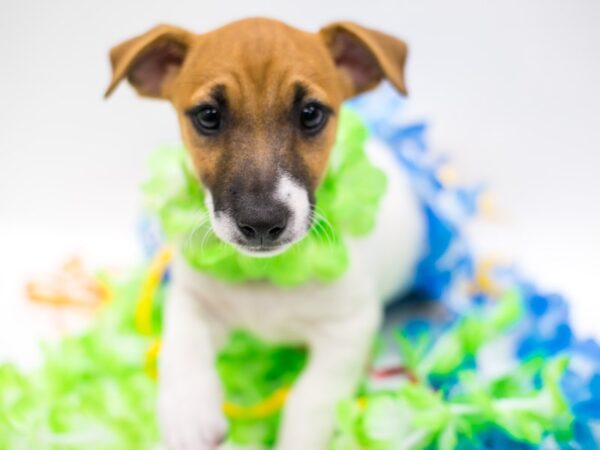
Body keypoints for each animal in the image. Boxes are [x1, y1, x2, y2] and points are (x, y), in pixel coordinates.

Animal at [106, 17, 426, 450]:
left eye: (311, 114)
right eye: (208, 116)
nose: (261, 223)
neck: (267, 274)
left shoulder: (349, 329)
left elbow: (311, 399)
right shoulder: (194, 298)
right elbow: (182, 349)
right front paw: (189, 417)